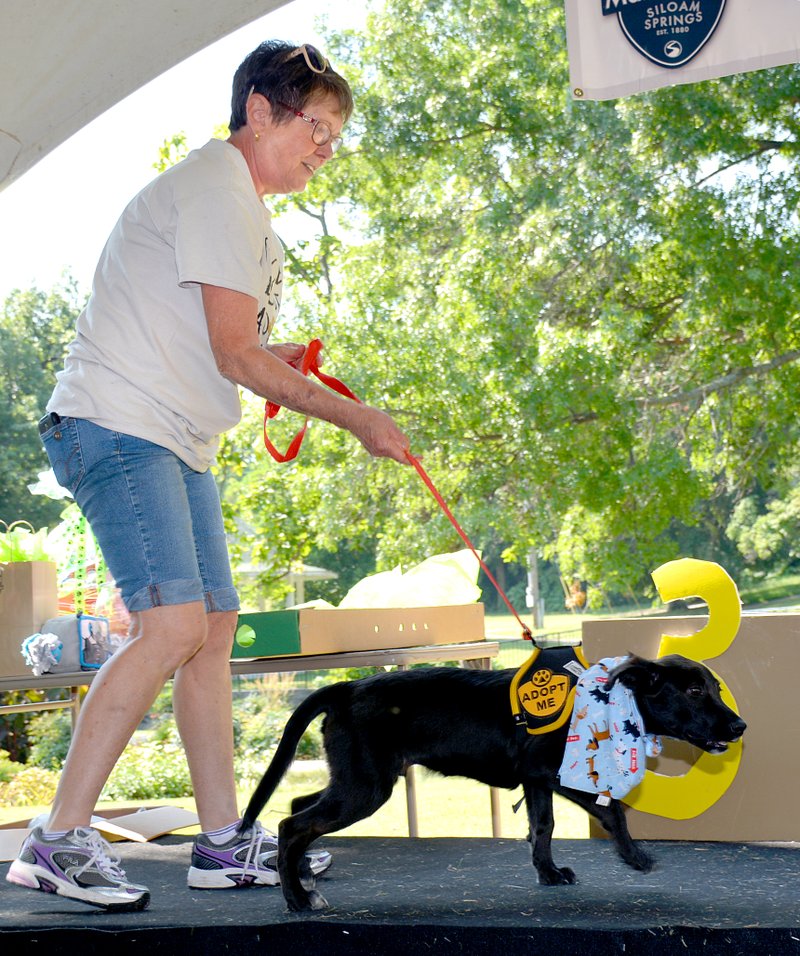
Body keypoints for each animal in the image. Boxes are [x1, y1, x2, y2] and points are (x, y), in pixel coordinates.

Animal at [241, 648, 748, 912]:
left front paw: (548, 873)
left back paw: (304, 877)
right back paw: (296, 899)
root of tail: (345, 687)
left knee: (298, 808)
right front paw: (636, 858)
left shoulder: (538, 782)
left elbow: (542, 828)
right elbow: (615, 814)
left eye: (715, 688)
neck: (607, 701)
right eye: (694, 691)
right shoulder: (562, 778)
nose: (739, 727)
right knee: (292, 824)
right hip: (365, 787)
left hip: (355, 778)